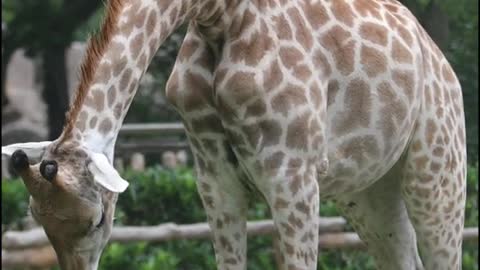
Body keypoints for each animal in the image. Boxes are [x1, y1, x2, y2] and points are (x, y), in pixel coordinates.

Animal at [0, 0, 464, 270]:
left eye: (98, 219)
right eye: (39, 220)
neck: (218, 15)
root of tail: (438, 58)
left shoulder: (293, 175)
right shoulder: (214, 180)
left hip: (438, 172)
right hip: (368, 192)